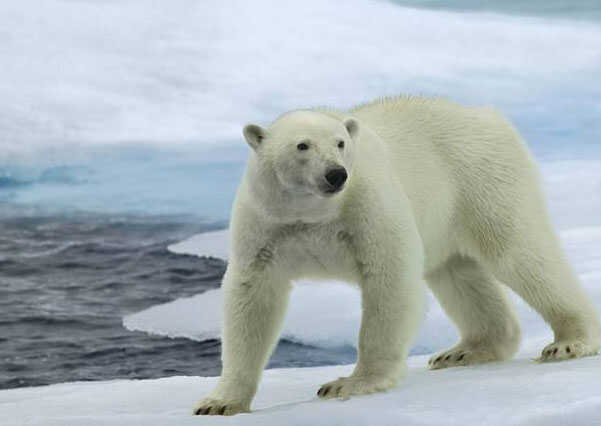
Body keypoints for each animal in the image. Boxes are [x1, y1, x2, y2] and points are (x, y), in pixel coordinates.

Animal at [193, 96, 600, 416]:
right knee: (458, 275)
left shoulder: (367, 205)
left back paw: (569, 341)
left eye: (340, 143)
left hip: (482, 180)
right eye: (302, 146)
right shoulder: (267, 225)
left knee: (520, 253)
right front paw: (219, 402)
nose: (335, 175)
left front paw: (349, 383)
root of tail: (487, 114)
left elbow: (389, 277)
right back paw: (464, 351)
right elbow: (253, 298)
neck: (314, 214)